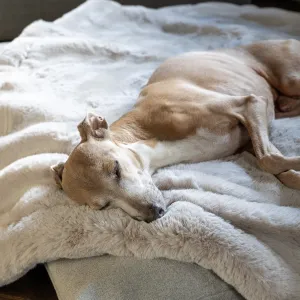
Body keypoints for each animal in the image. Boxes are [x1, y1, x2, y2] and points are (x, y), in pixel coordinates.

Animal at [51, 39, 300, 223]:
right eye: (103, 206)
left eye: (116, 169)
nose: (154, 213)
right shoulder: (249, 139)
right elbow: (276, 164)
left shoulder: (248, 104)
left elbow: (268, 159)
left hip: (290, 79)